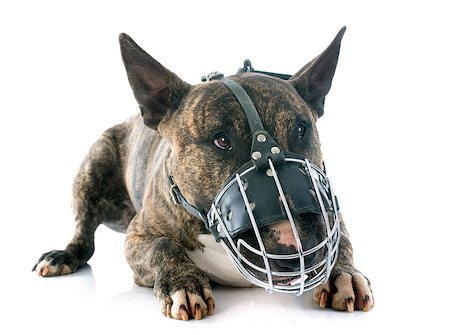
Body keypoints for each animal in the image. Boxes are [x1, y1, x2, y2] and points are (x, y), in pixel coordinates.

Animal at [33, 26, 374, 320]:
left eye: (302, 129)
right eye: (221, 140)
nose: (296, 249)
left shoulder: (332, 214)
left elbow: (341, 240)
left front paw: (344, 275)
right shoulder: (137, 235)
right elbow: (162, 245)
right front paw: (183, 283)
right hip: (94, 163)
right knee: (84, 233)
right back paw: (63, 256)